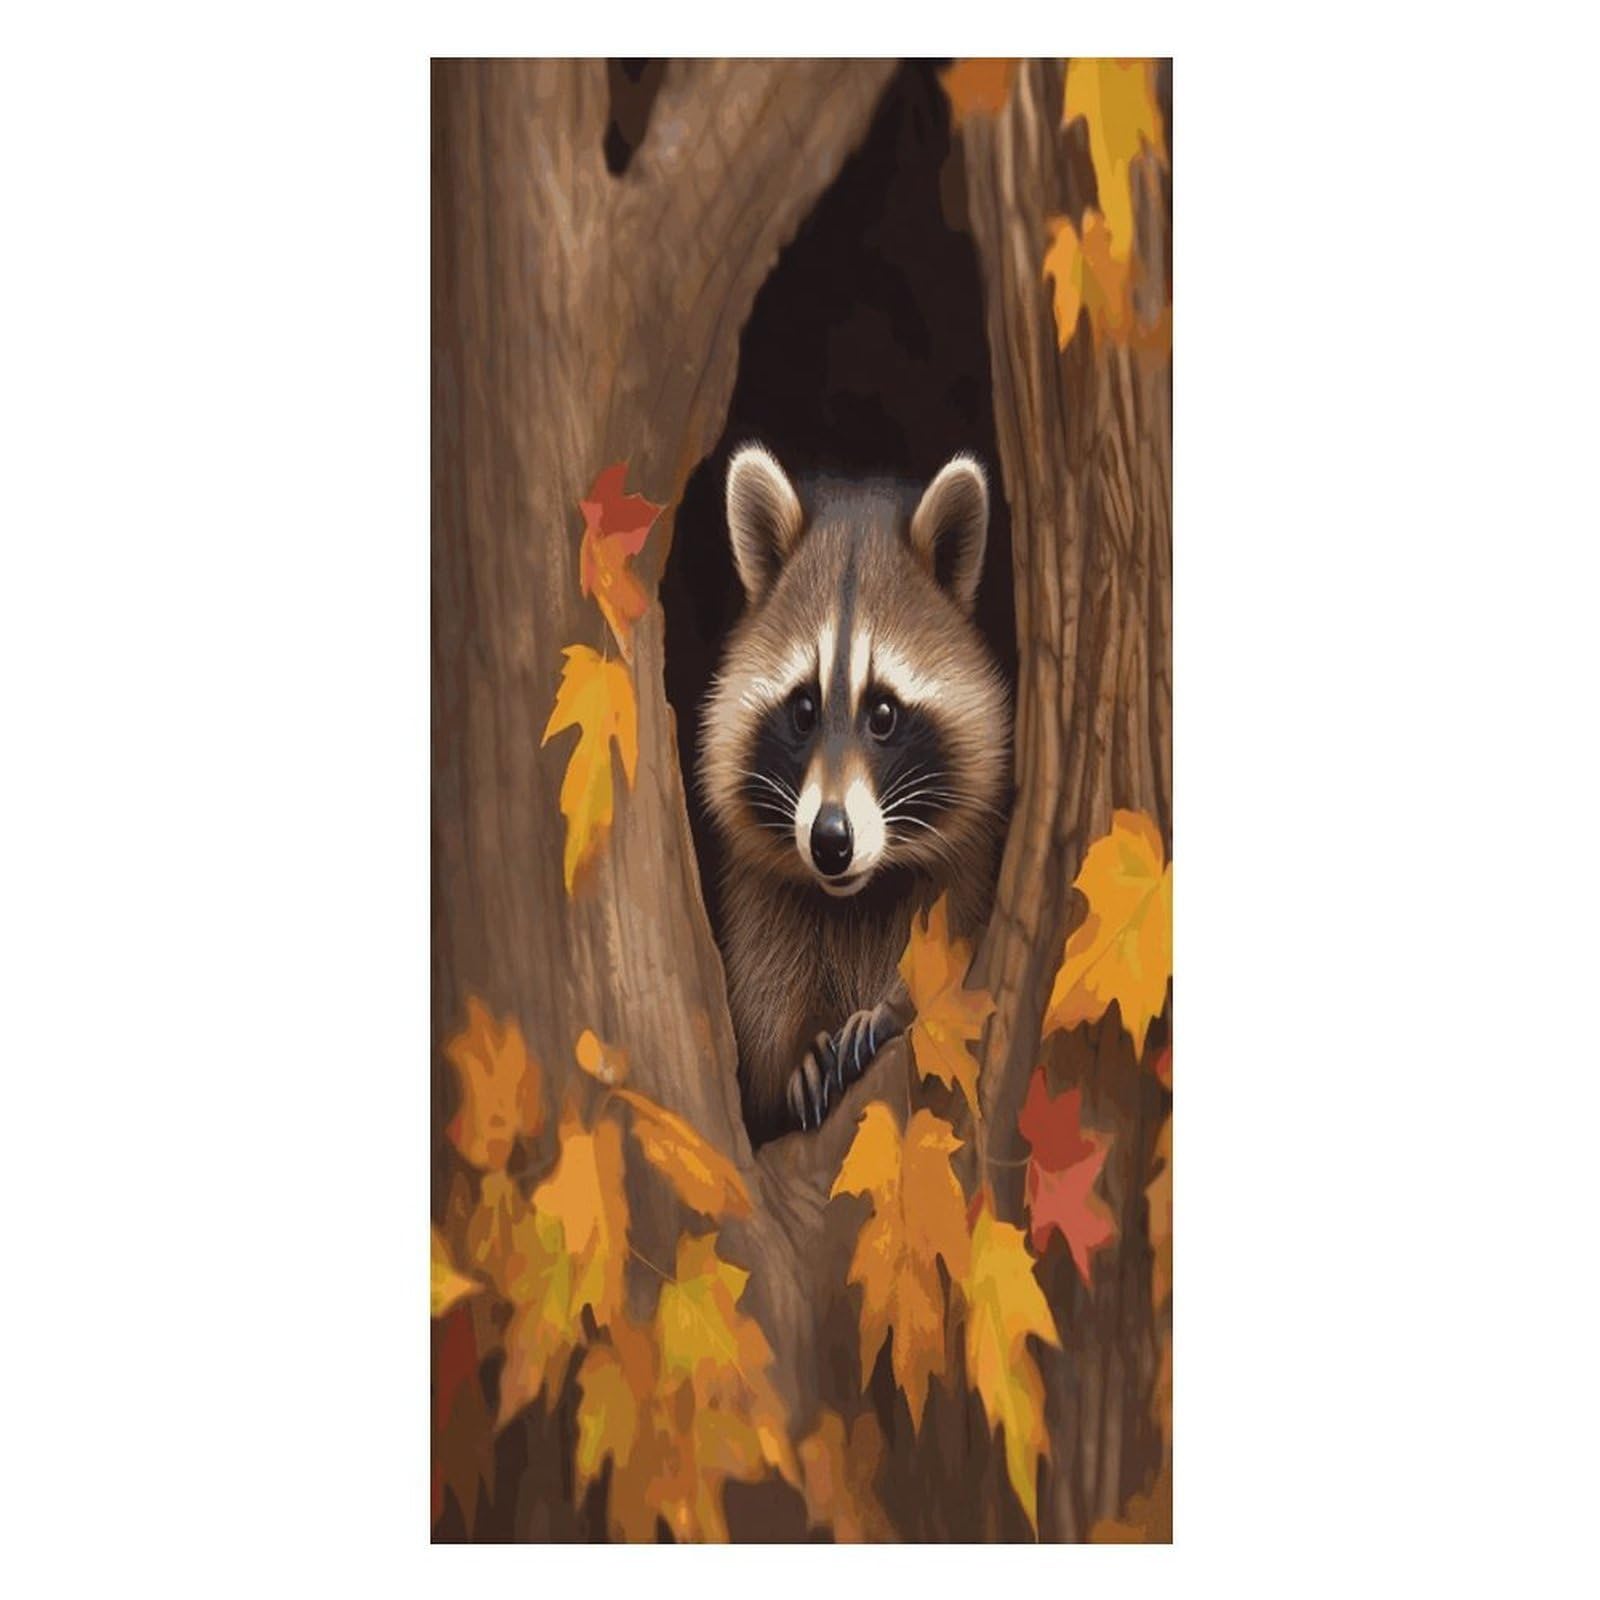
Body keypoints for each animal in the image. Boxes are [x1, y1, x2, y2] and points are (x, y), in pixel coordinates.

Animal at [699, 444, 1011, 1143]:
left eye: (885, 713)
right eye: (803, 710)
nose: (831, 841)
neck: (857, 894)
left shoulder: (971, 864)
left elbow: (953, 937)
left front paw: (896, 1006)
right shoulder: (758, 887)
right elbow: (762, 995)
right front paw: (796, 1046)